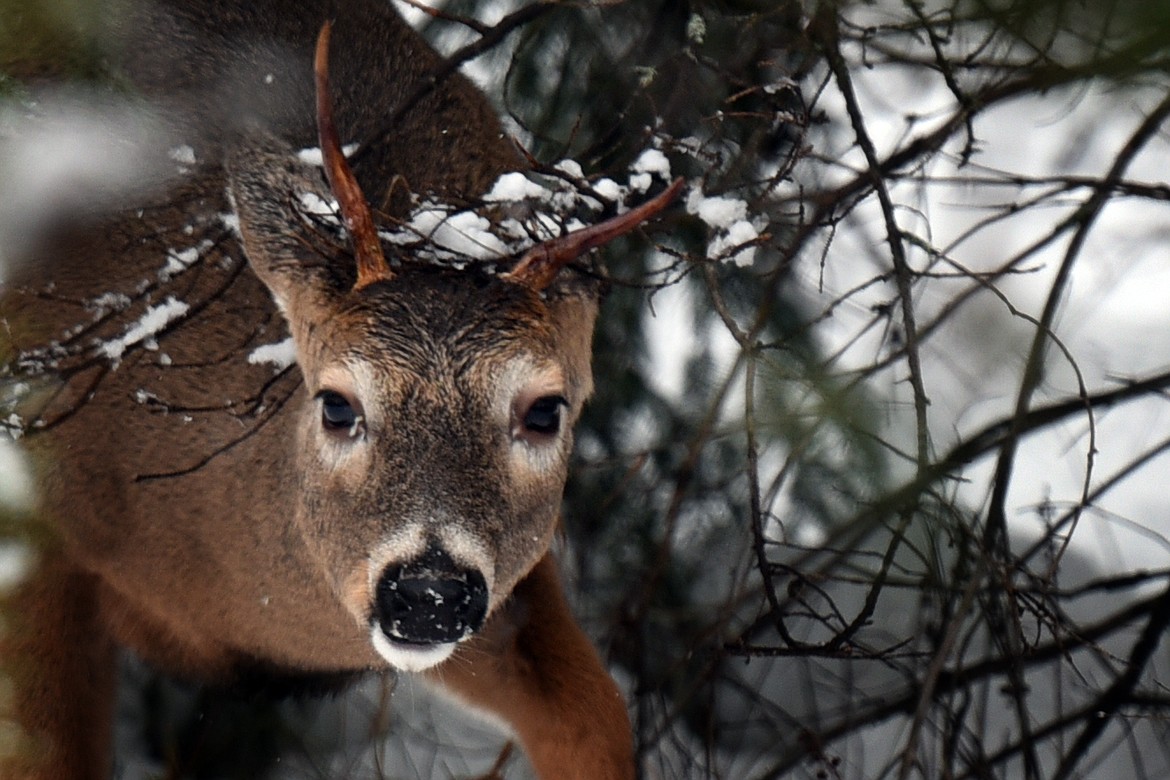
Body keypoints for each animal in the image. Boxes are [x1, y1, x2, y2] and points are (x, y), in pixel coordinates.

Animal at [0, 3, 678, 776]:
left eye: (544, 411)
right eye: (336, 402)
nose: (429, 590)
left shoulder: (507, 595)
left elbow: (595, 715)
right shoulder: (36, 526)